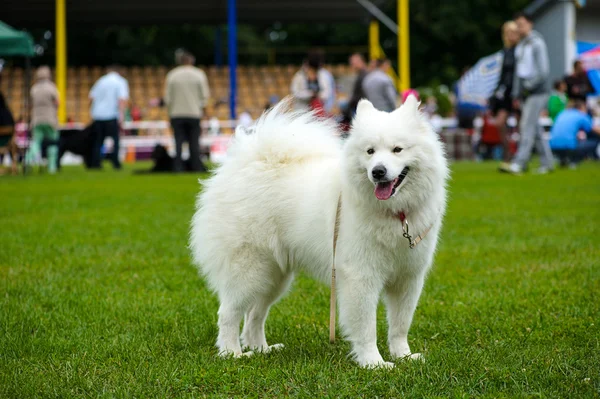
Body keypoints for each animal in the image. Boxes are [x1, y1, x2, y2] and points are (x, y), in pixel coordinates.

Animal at [190, 96, 448, 368]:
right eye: (370, 151)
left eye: (398, 149)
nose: (378, 171)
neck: (395, 214)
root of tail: (240, 169)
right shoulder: (361, 276)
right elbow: (367, 327)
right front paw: (373, 363)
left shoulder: (408, 278)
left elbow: (400, 325)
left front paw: (404, 356)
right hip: (249, 270)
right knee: (228, 312)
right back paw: (232, 353)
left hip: (274, 276)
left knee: (254, 315)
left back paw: (262, 349)